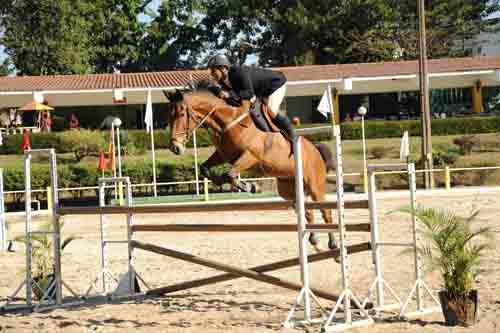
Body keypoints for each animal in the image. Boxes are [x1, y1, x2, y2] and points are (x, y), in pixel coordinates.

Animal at [166, 87, 338, 249]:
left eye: (181, 114)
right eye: (169, 115)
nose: (175, 147)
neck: (229, 120)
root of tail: (315, 149)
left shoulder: (251, 156)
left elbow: (230, 174)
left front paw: (251, 186)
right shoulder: (222, 155)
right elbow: (206, 169)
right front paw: (227, 183)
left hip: (315, 186)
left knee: (326, 211)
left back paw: (333, 245)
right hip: (288, 190)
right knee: (307, 212)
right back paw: (315, 240)